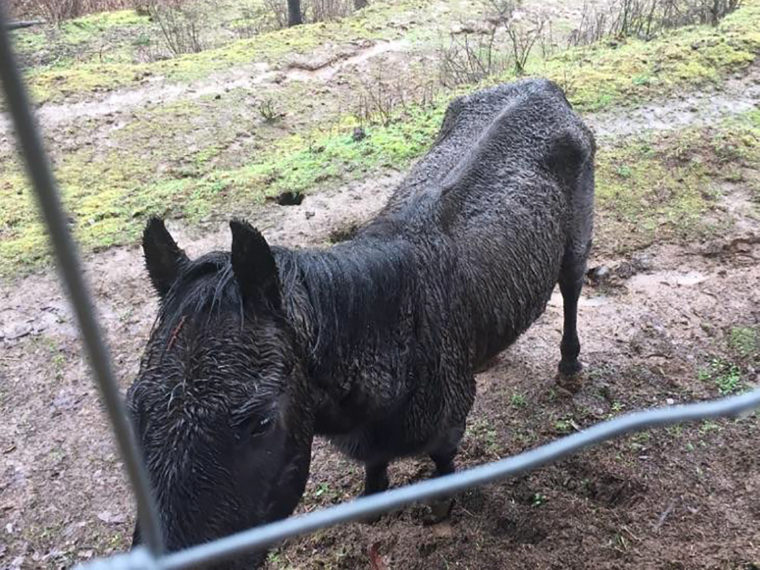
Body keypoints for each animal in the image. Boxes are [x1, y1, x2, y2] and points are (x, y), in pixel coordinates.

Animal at [127, 77, 596, 564]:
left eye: (260, 420)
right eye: (133, 409)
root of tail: (541, 85)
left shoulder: (449, 418)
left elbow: (443, 462)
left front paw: (440, 505)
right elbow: (374, 466)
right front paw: (373, 503)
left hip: (577, 237)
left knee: (572, 288)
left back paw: (569, 368)